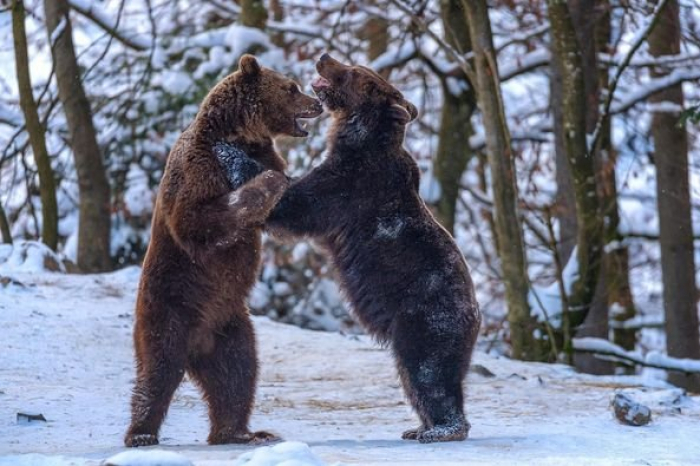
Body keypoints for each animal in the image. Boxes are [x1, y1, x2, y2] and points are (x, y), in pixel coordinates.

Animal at [124, 54, 322, 448]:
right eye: (291, 88)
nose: (317, 103)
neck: (237, 135)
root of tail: (196, 347)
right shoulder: (196, 167)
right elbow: (197, 219)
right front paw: (267, 181)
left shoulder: (265, 155)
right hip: (169, 307)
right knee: (157, 370)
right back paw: (140, 433)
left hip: (229, 325)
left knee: (237, 375)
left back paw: (241, 432)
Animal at [266, 52, 482, 442]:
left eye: (353, 71)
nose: (325, 57)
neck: (360, 138)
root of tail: (476, 316)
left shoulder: (350, 184)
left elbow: (299, 204)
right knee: (421, 377)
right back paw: (419, 427)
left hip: (426, 319)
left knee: (428, 371)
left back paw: (441, 429)